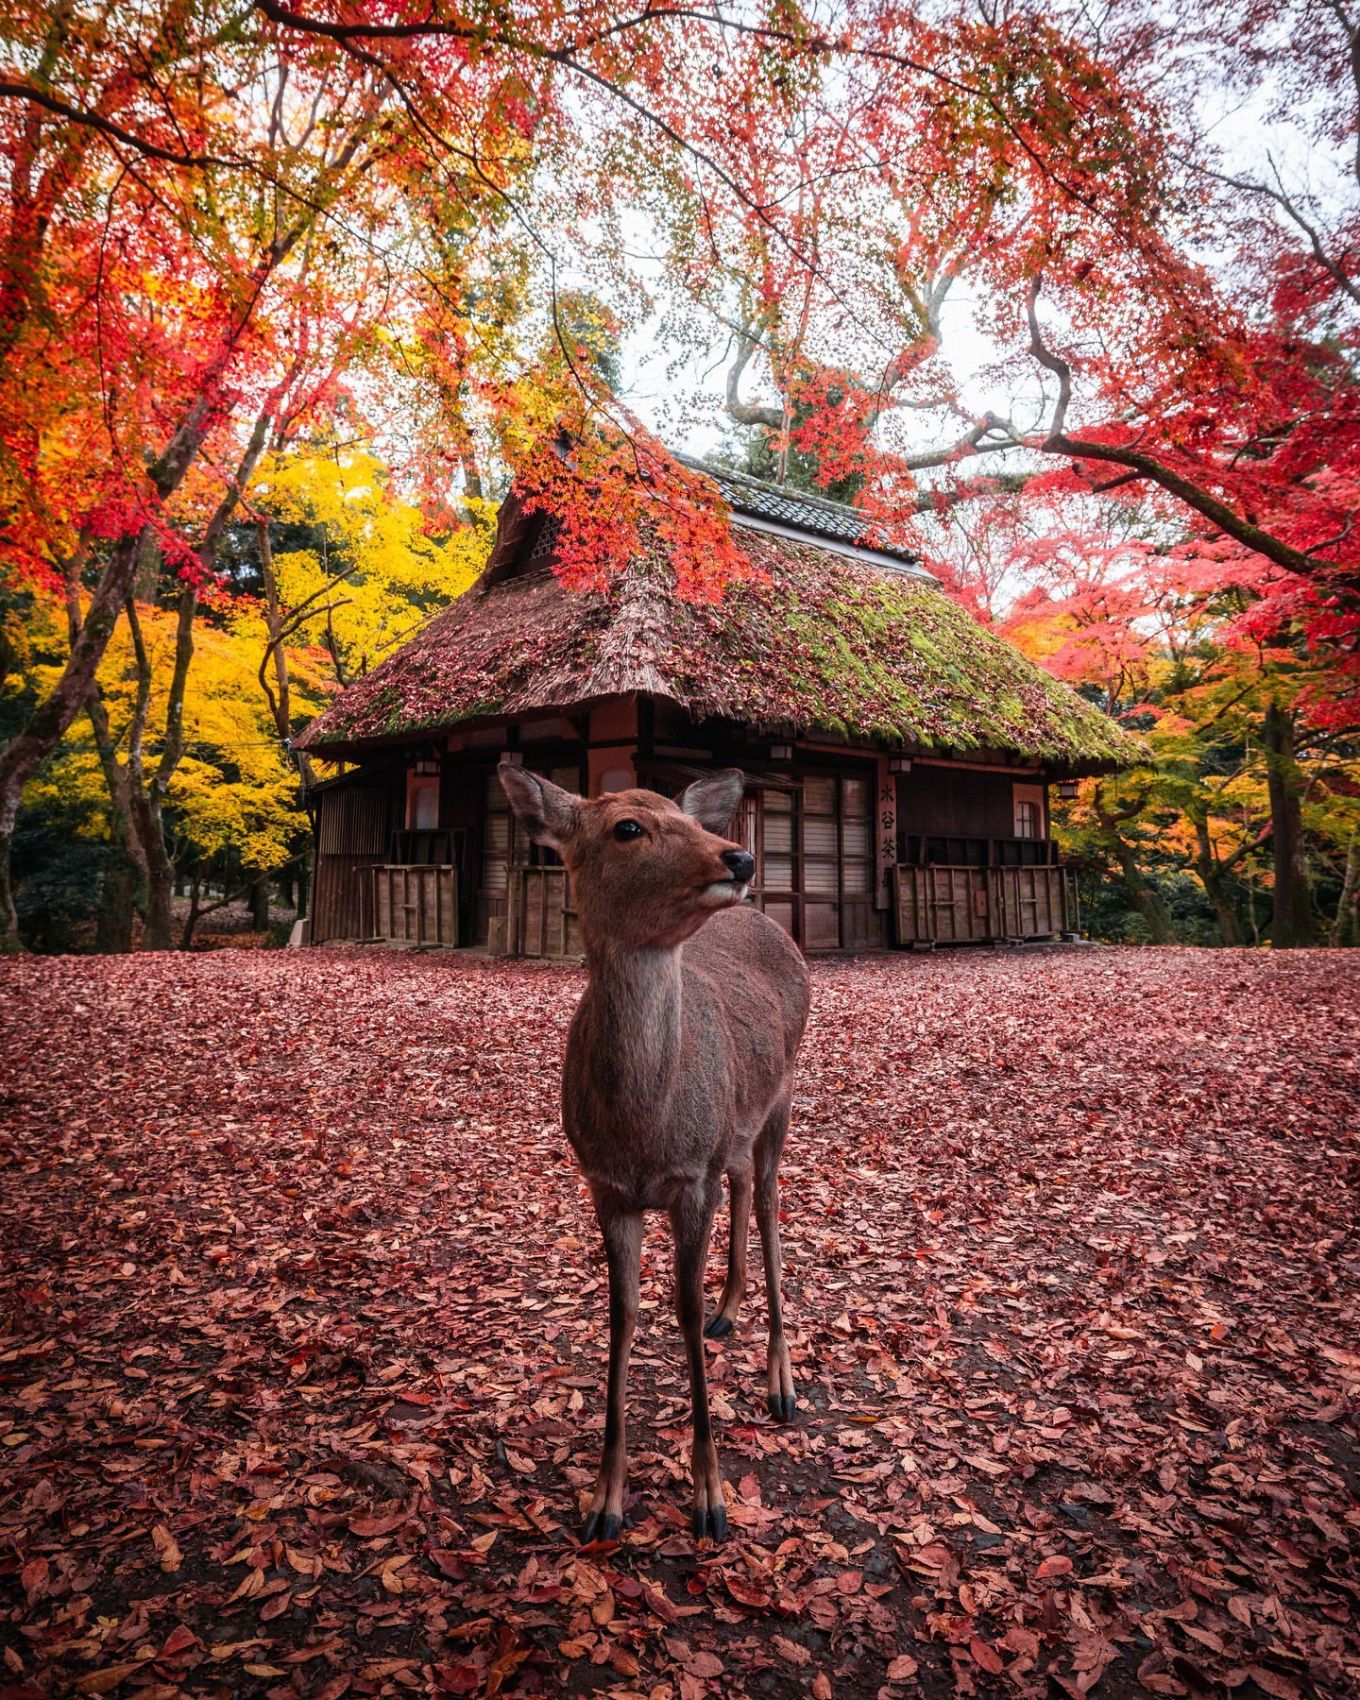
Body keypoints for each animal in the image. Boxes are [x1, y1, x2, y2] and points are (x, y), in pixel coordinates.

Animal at [503, 765, 812, 1550]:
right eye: (628, 827)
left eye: (689, 817)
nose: (739, 859)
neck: (644, 1129)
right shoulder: (606, 1186)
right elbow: (622, 1315)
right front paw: (604, 1500)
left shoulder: (689, 1178)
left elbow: (681, 1307)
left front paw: (711, 1498)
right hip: (735, 1125)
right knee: (745, 1185)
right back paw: (731, 1309)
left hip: (783, 1095)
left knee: (770, 1206)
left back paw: (782, 1383)